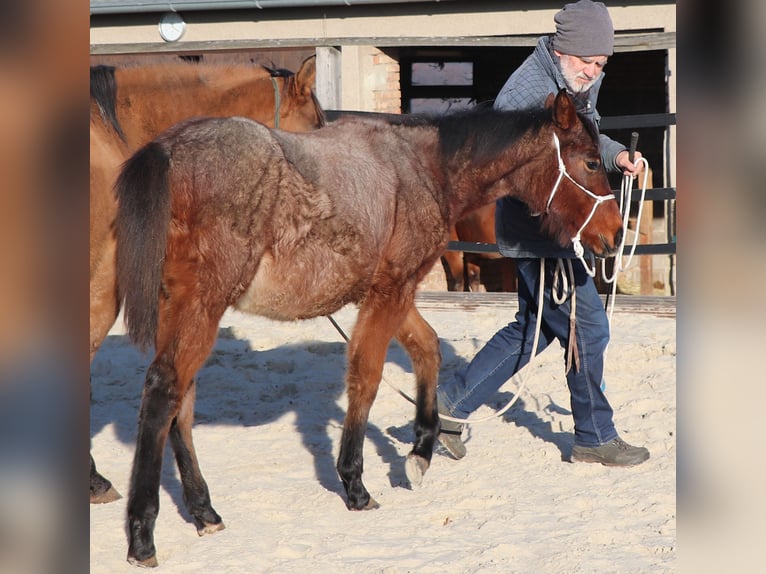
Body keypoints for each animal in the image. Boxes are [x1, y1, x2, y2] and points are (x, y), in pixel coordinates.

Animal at [114, 89, 623, 567]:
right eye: (590, 161)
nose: (616, 234)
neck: (423, 168)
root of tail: (168, 148)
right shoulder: (390, 292)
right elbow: (367, 376)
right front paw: (355, 483)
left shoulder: (388, 293)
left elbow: (428, 350)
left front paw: (421, 450)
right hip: (204, 305)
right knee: (163, 392)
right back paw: (142, 534)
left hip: (182, 308)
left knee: (182, 402)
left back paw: (204, 511)